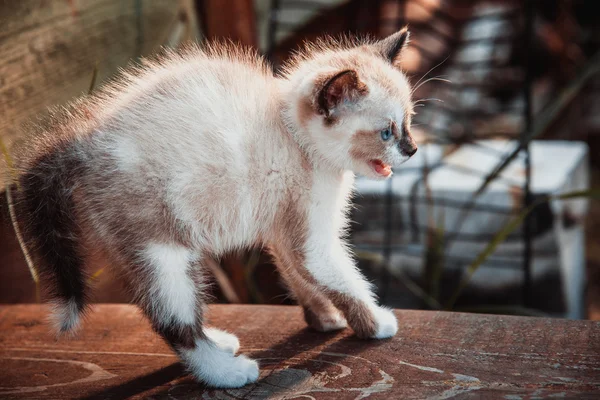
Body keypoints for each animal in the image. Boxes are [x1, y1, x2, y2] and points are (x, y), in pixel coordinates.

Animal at [14, 28, 418, 388]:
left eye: (410, 121)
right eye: (387, 132)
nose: (412, 150)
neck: (294, 135)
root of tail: (83, 143)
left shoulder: (283, 230)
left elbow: (299, 277)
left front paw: (325, 318)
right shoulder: (312, 236)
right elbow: (343, 279)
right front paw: (374, 323)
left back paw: (219, 344)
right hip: (161, 249)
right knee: (173, 322)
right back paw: (226, 372)